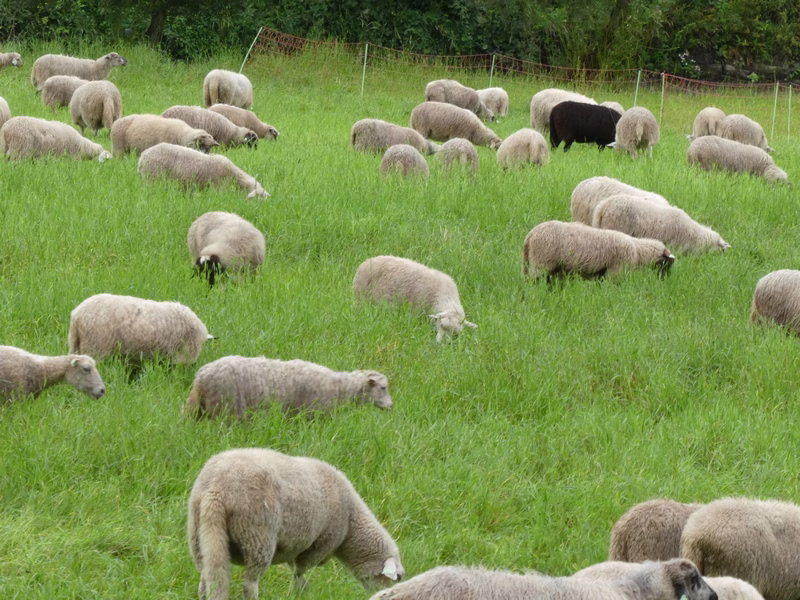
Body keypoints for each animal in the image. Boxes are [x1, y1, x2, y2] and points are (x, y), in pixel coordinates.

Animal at [188, 447, 404, 599]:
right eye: (399, 578)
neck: (351, 523)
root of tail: (215, 490)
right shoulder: (318, 545)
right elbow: (299, 573)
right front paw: (298, 593)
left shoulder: (296, 546)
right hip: (257, 536)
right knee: (249, 584)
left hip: (201, 535)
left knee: (206, 578)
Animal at [522, 220, 675, 280]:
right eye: (666, 263)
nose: (665, 278)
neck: (637, 250)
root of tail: (530, 235)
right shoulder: (615, 271)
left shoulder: (602, 273)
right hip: (542, 262)